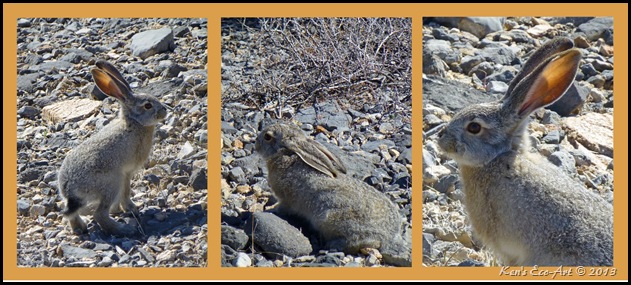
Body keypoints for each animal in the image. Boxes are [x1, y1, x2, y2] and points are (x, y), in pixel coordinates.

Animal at [57, 60, 168, 235]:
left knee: (71, 214)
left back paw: (80, 228)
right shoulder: (126, 173)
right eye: (148, 106)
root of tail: (70, 189)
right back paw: (124, 229)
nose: (164, 111)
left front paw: (120, 210)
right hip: (111, 183)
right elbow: (126, 192)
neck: (134, 123)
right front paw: (131, 209)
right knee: (99, 214)